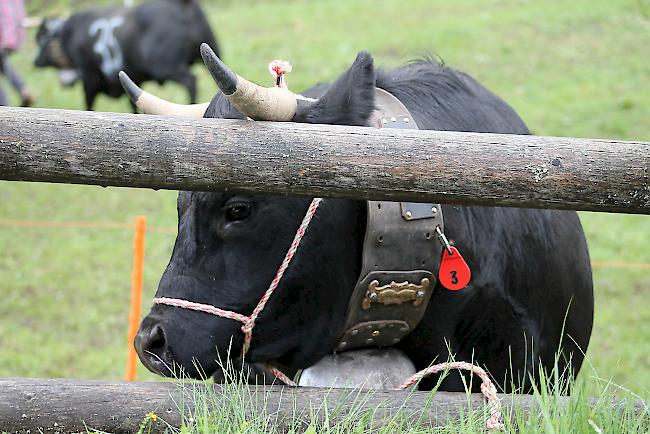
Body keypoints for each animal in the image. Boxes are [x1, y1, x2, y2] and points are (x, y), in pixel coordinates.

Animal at [33, 0, 218, 110]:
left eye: (41, 39)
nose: (35, 62)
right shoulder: (133, 79)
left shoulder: (89, 78)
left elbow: (89, 104)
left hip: (165, 66)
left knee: (190, 81)